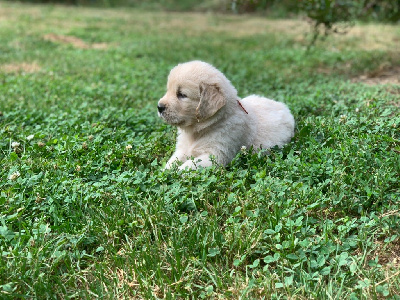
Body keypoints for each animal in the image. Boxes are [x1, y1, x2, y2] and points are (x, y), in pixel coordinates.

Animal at [157, 60, 294, 171]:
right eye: (169, 90)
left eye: (182, 94)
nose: (159, 107)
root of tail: (282, 105)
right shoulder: (182, 150)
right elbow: (172, 162)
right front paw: (165, 171)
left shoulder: (216, 155)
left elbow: (188, 166)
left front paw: (175, 173)